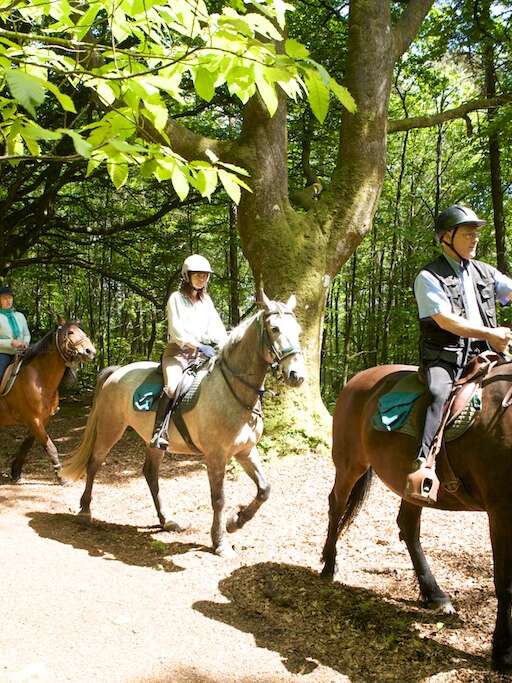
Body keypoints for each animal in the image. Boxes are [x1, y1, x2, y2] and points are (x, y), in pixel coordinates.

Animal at [1, 324, 96, 484]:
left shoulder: (41, 420)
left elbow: (26, 445)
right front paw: (61, 477)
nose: (90, 351)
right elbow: (50, 448)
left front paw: (16, 472)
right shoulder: (34, 420)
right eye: (70, 332)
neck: (38, 379)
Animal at [62, 292, 306, 556]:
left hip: (154, 442)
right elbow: (219, 498)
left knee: (150, 474)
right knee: (94, 462)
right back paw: (85, 512)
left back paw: (166, 520)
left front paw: (236, 522)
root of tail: (116, 372)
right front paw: (220, 542)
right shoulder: (216, 456)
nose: (297, 376)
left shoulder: (245, 451)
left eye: (298, 330)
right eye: (275, 328)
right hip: (111, 428)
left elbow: (264, 489)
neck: (233, 389)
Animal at [322, 364, 512, 672]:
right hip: (349, 462)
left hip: (409, 486)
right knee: (336, 506)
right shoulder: (501, 510)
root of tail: (358, 378)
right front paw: (503, 651)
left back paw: (434, 594)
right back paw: (329, 563)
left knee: (408, 527)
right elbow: (505, 582)